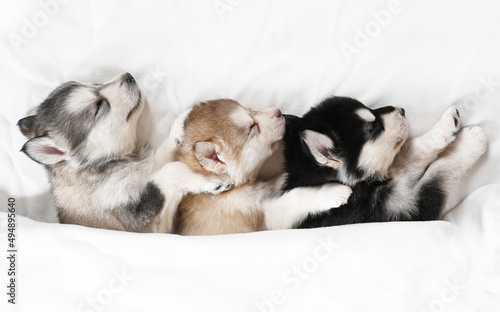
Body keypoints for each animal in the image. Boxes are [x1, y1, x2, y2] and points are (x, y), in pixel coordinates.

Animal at [17, 73, 232, 232]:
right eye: (98, 105)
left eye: (96, 83)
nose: (127, 75)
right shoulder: (139, 218)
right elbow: (172, 170)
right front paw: (211, 181)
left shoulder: (149, 167)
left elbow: (163, 154)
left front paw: (182, 121)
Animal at [174, 100, 354, 234]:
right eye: (251, 128)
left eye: (249, 109)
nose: (278, 111)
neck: (235, 187)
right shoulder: (265, 218)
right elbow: (296, 198)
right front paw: (330, 192)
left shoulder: (260, 190)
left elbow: (274, 183)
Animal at [282, 96, 488, 228]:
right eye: (374, 126)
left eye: (371, 109)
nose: (402, 110)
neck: (360, 186)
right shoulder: (406, 209)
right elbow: (439, 171)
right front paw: (468, 142)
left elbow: (414, 149)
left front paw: (446, 126)